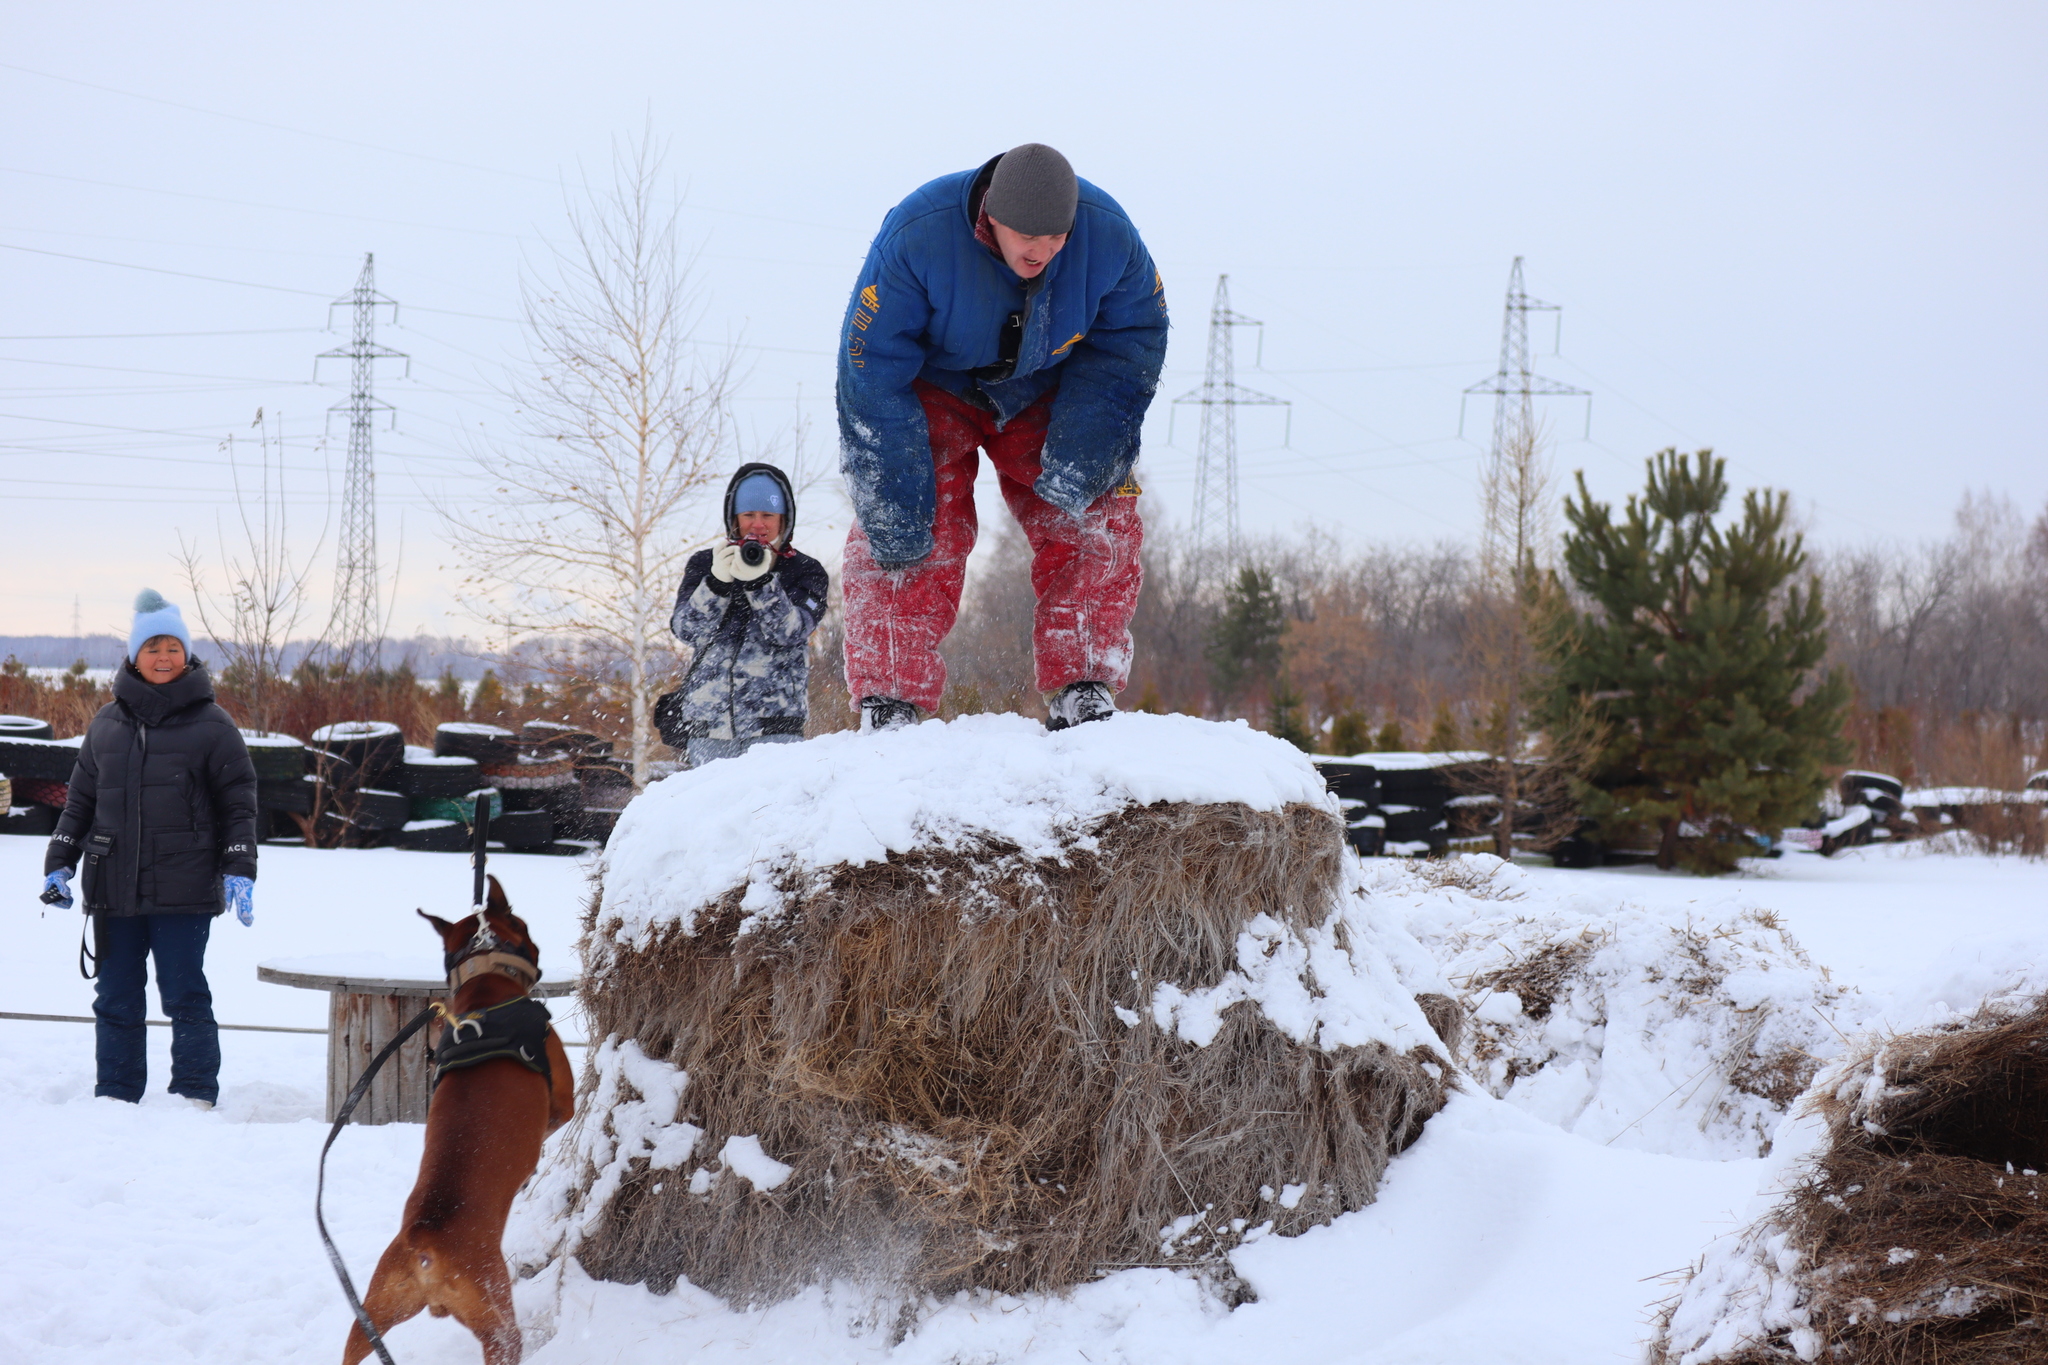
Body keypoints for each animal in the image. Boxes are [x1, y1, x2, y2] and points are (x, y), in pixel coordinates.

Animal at [339, 879, 573, 1358]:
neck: (485, 985)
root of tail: (424, 1244)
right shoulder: (562, 1099)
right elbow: (554, 1123)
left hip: (370, 1316)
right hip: (499, 1327)